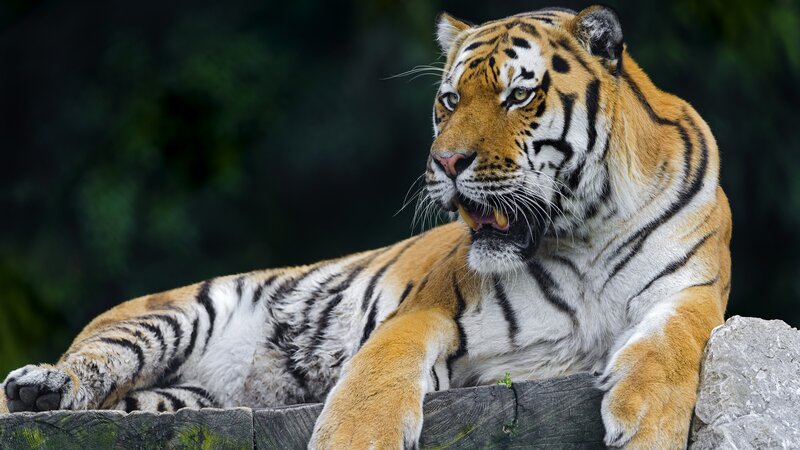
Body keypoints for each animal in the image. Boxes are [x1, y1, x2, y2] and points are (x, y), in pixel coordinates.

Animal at [1, 5, 731, 449]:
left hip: (175, 398)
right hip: (172, 315)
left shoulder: (695, 291)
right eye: (449, 99)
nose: (446, 162)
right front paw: (356, 436)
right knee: (87, 366)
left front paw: (649, 426)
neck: (584, 231)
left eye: (518, 95)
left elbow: (676, 345)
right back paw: (39, 385)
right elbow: (377, 372)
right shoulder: (430, 309)